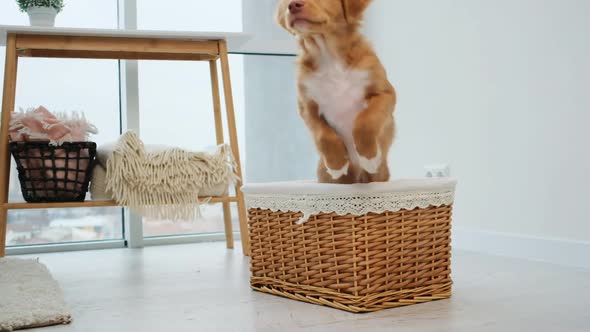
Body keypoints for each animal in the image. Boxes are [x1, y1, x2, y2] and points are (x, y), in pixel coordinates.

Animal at [278, 0, 398, 184]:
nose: (292, 5)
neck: (328, 57)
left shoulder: (384, 93)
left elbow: (365, 121)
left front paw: (369, 158)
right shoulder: (307, 107)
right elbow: (323, 135)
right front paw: (337, 165)